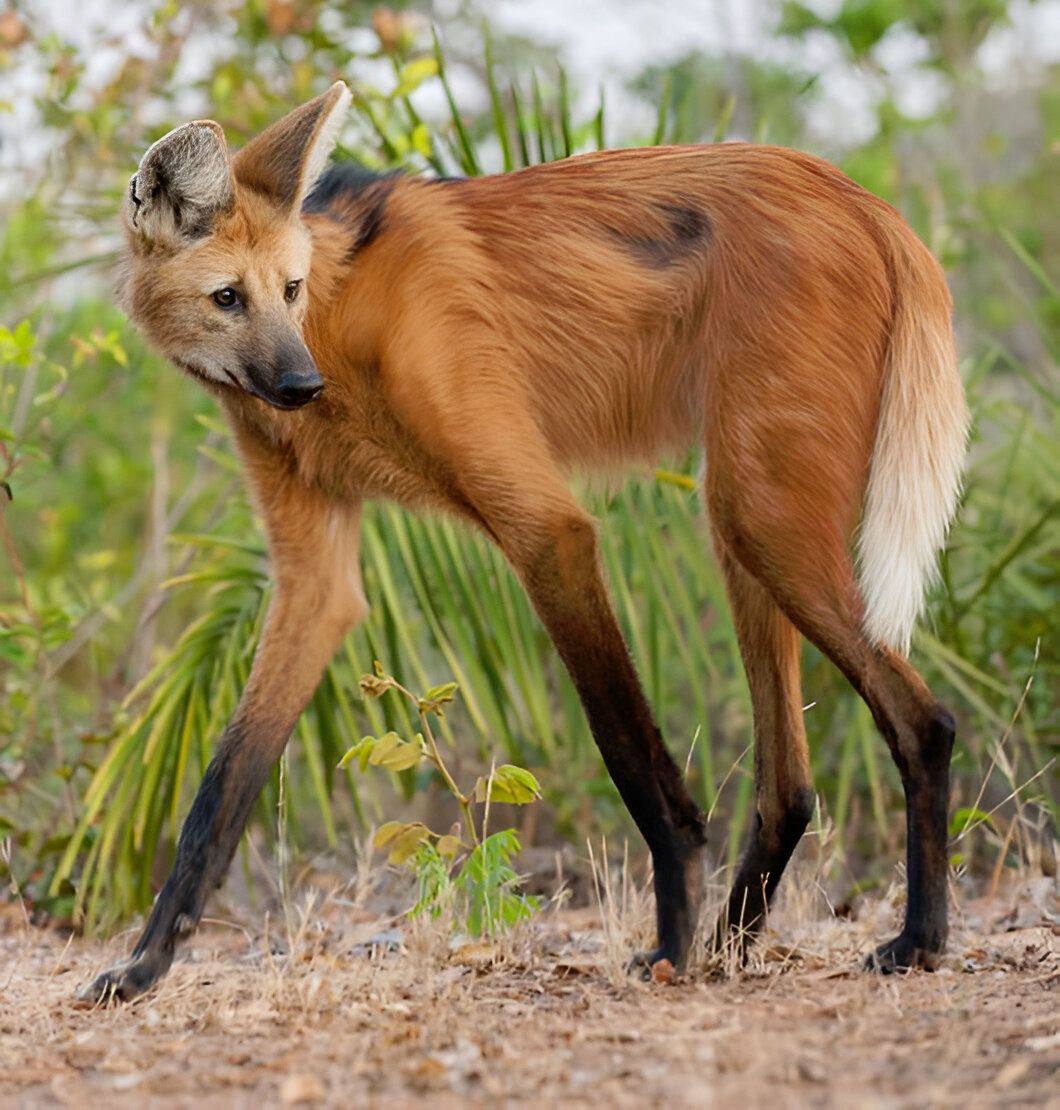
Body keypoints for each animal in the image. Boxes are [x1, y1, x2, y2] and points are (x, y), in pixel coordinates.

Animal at [81, 81, 967, 1002]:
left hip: (761, 518)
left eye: (288, 290)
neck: (343, 325)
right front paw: (145, 965)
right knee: (790, 785)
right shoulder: (315, 582)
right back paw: (735, 946)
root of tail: (869, 203)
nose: (298, 384)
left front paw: (669, 945)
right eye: (229, 298)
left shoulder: (548, 530)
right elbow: (220, 788)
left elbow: (627, 752)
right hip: (743, 521)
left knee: (925, 721)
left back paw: (913, 939)